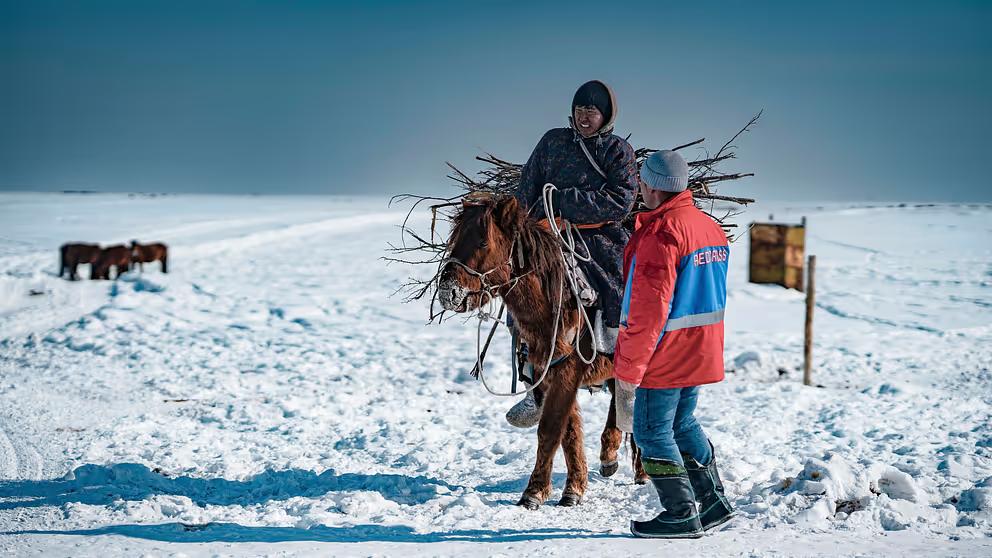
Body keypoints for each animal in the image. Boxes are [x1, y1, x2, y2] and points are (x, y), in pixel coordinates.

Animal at [438, 195, 648, 510]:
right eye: (455, 238)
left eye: (483, 242)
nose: (448, 292)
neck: (553, 303)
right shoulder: (548, 370)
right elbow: (568, 432)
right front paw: (573, 487)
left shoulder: (568, 370)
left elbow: (550, 428)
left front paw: (534, 492)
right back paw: (609, 456)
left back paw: (643, 471)